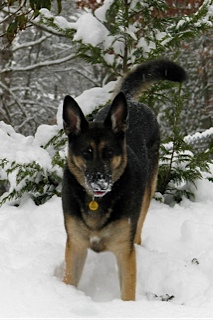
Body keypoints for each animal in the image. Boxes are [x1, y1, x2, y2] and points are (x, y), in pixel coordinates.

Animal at [61, 59, 186, 300]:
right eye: (86, 153)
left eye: (109, 153)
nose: (100, 183)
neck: (97, 203)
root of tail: (130, 101)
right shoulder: (76, 247)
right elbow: (69, 281)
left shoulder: (124, 252)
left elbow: (127, 292)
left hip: (147, 195)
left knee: (139, 229)